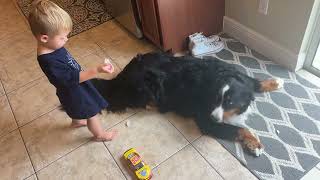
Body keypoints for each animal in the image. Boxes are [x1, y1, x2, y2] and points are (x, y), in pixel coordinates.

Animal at [92, 51, 282, 156]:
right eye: (216, 99)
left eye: (229, 102)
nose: (213, 117)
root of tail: (119, 78)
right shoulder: (207, 122)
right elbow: (240, 129)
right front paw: (255, 144)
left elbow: (255, 82)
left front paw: (275, 82)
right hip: (147, 84)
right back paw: (155, 105)